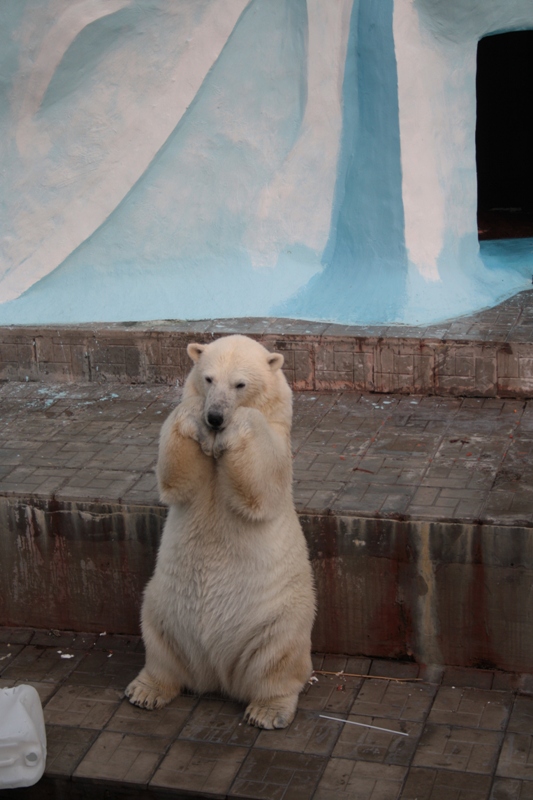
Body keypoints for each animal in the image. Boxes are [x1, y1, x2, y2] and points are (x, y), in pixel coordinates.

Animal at [124, 334, 316, 728]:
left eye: (240, 384)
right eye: (209, 378)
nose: (215, 416)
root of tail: (215, 673)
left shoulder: (278, 438)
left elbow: (261, 484)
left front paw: (234, 425)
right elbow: (176, 476)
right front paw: (194, 417)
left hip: (279, 615)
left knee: (278, 657)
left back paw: (267, 710)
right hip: (164, 604)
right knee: (158, 640)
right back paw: (146, 690)